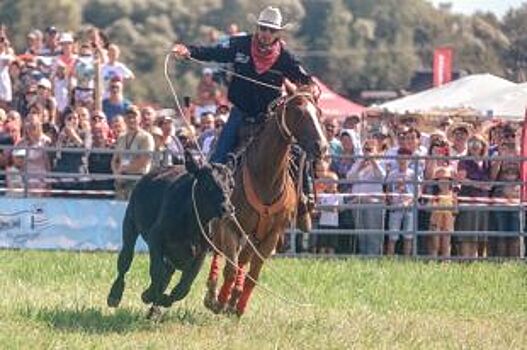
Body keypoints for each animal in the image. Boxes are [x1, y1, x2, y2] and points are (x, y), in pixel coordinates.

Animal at [204, 88, 328, 318]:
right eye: (298, 112)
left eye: (319, 112)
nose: (321, 147)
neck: (265, 176)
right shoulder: (231, 226)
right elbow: (230, 268)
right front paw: (220, 301)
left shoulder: (272, 234)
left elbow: (253, 273)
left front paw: (238, 306)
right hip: (222, 226)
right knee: (219, 250)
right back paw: (213, 293)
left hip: (255, 235)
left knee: (243, 259)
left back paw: (234, 296)